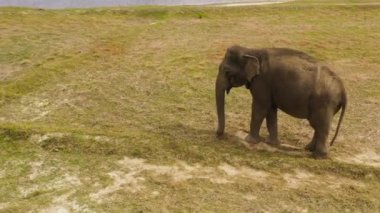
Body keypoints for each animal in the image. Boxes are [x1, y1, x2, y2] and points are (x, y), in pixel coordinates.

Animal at [215, 45, 346, 158]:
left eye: (227, 71)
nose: (219, 135)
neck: (251, 51)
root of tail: (343, 89)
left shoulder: (262, 82)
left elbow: (260, 108)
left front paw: (249, 140)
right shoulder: (269, 87)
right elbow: (271, 111)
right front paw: (271, 143)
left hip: (324, 103)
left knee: (320, 125)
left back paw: (318, 156)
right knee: (317, 125)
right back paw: (308, 149)